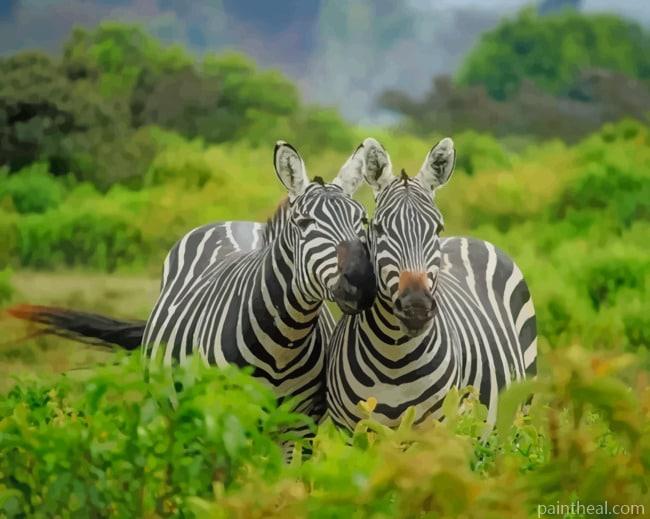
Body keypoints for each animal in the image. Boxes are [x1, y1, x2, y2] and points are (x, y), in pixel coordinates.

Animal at [9, 141, 377, 430]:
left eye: (362, 220)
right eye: (303, 223)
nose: (361, 280)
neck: (283, 342)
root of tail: (232, 222)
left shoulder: (299, 427)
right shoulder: (225, 416)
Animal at [326, 138, 537, 431]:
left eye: (437, 229)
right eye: (378, 228)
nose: (416, 308)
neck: (394, 359)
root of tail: (469, 238)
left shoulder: (435, 429)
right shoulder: (348, 430)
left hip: (519, 412)